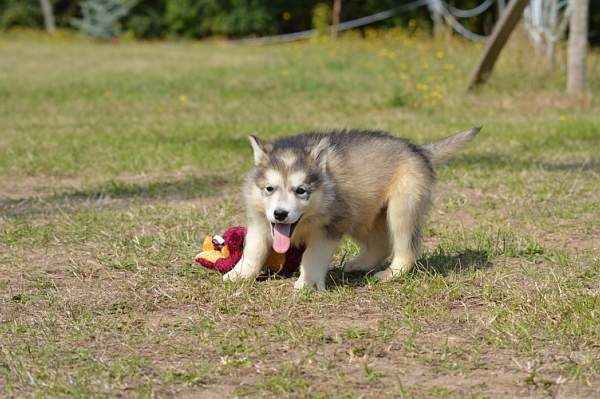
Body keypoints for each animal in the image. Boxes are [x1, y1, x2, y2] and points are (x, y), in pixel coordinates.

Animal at [223, 128, 480, 290]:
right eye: (269, 188)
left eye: (301, 190)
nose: (280, 214)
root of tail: (417, 149)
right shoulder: (259, 221)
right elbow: (253, 250)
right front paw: (240, 274)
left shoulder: (330, 228)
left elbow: (313, 255)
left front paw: (308, 283)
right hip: (362, 215)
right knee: (381, 243)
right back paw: (360, 264)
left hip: (400, 207)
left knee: (406, 247)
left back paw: (391, 273)